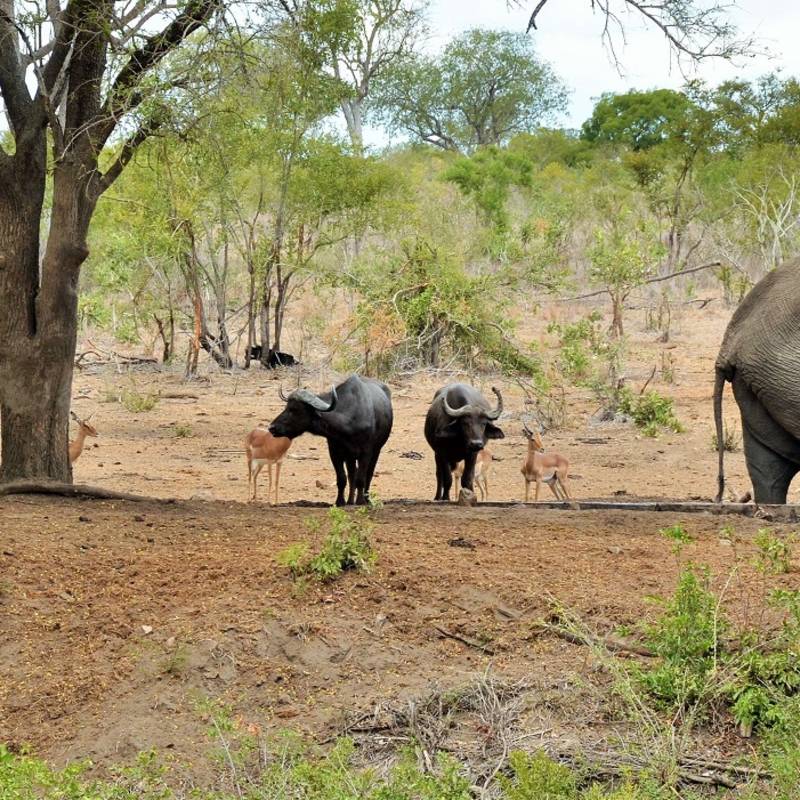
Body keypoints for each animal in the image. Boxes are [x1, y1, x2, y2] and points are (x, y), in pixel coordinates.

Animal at [270, 376, 392, 506]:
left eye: (295, 409)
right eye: (286, 407)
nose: (272, 427)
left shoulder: (366, 452)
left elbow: (361, 478)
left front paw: (360, 501)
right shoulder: (335, 452)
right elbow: (342, 479)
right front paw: (340, 502)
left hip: (376, 451)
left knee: (368, 474)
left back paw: (366, 499)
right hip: (350, 457)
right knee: (352, 476)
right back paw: (350, 501)